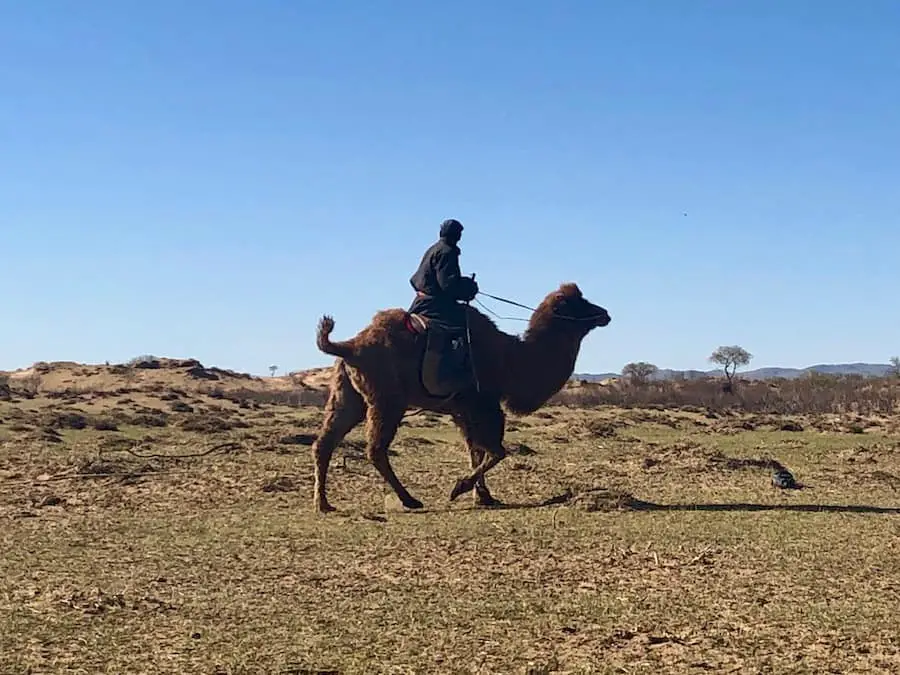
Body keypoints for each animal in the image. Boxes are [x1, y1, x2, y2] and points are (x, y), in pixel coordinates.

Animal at [310, 284, 612, 512]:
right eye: (576, 304)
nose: (605, 314)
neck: (511, 358)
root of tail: (349, 346)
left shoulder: (462, 409)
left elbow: (475, 450)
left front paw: (484, 496)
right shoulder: (482, 403)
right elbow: (496, 451)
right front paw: (460, 488)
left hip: (349, 395)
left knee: (324, 443)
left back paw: (324, 504)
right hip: (388, 400)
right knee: (375, 449)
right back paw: (410, 500)